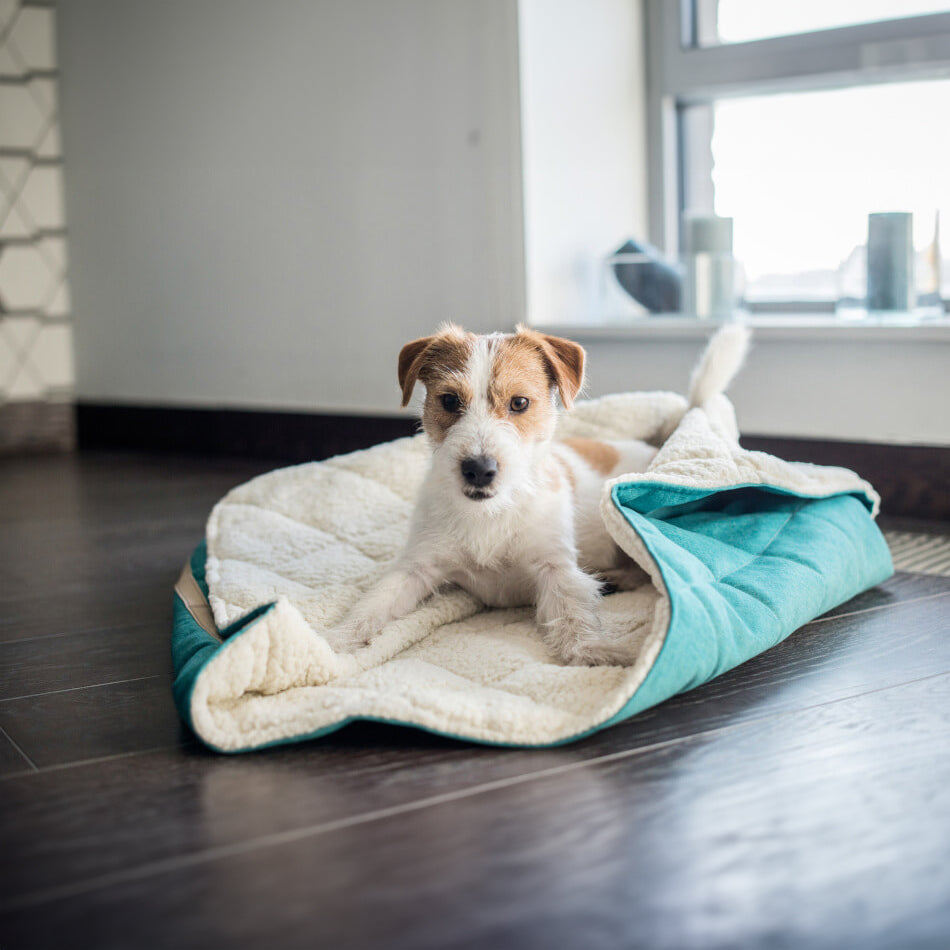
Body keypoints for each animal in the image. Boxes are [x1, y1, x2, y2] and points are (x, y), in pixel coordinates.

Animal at [334, 324, 752, 664]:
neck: (492, 513)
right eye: (450, 401)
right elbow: (374, 603)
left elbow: (572, 615)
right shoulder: (417, 567)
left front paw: (597, 651)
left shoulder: (555, 569)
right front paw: (335, 643)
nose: (479, 469)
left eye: (519, 403)